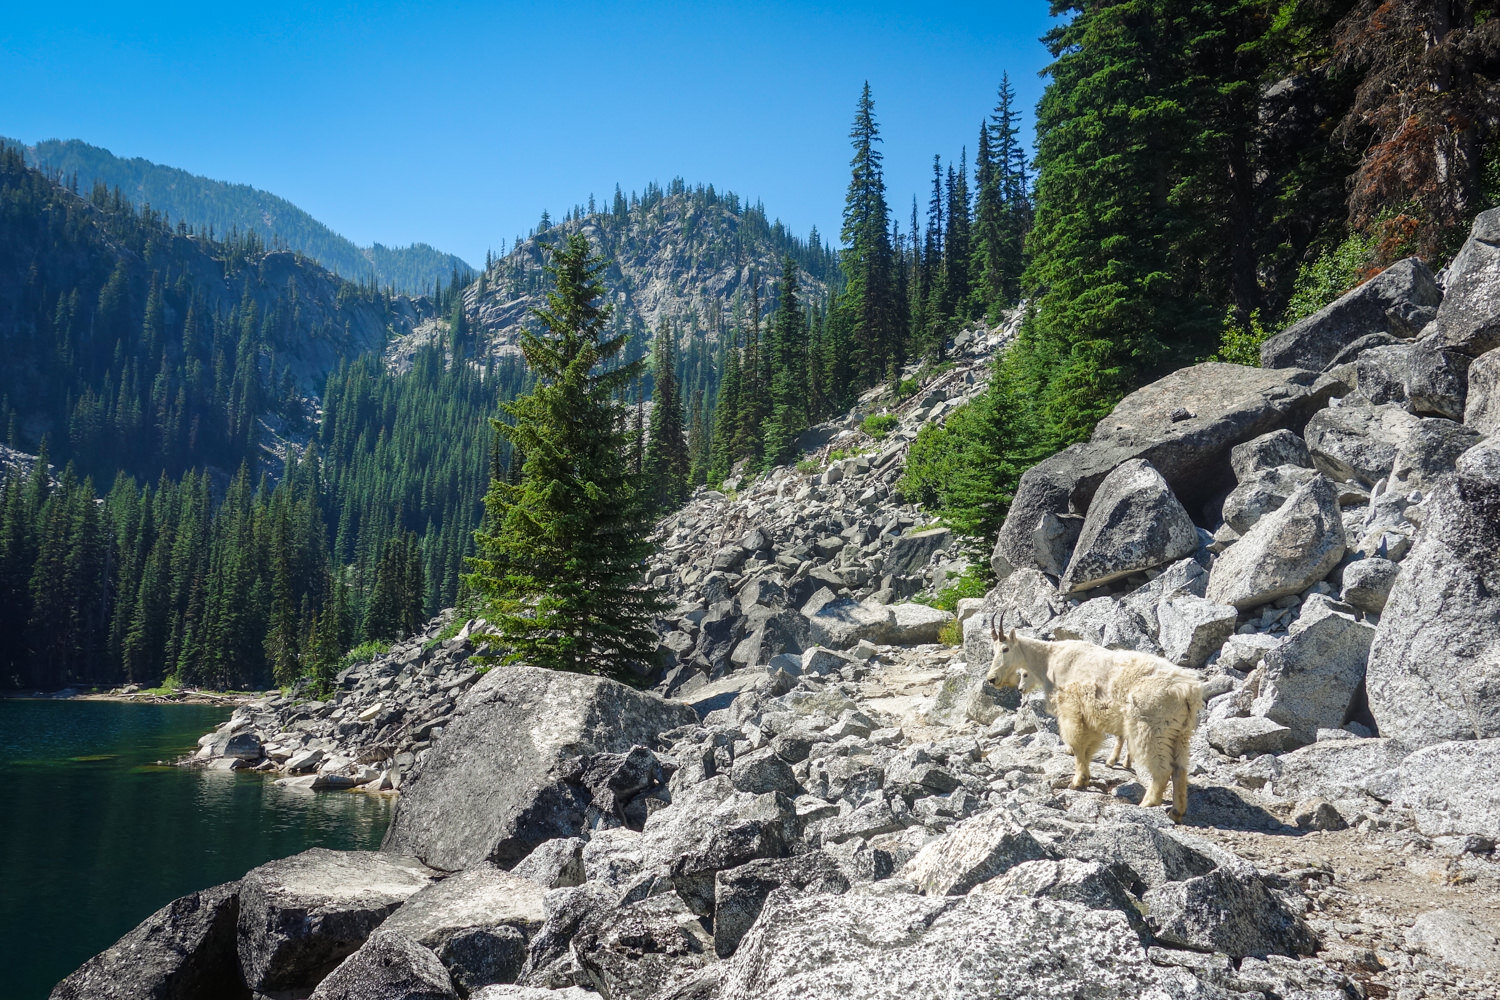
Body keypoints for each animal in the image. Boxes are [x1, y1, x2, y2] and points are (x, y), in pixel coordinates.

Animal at [984, 620, 1206, 827]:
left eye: (1005, 649)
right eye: (993, 650)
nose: (992, 679)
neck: (1048, 660)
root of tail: (1187, 691)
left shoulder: (1071, 710)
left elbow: (1078, 745)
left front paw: (1078, 782)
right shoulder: (1089, 718)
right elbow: (1088, 747)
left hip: (1151, 728)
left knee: (1162, 768)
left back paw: (1148, 803)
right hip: (1180, 731)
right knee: (1180, 769)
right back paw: (1176, 811)